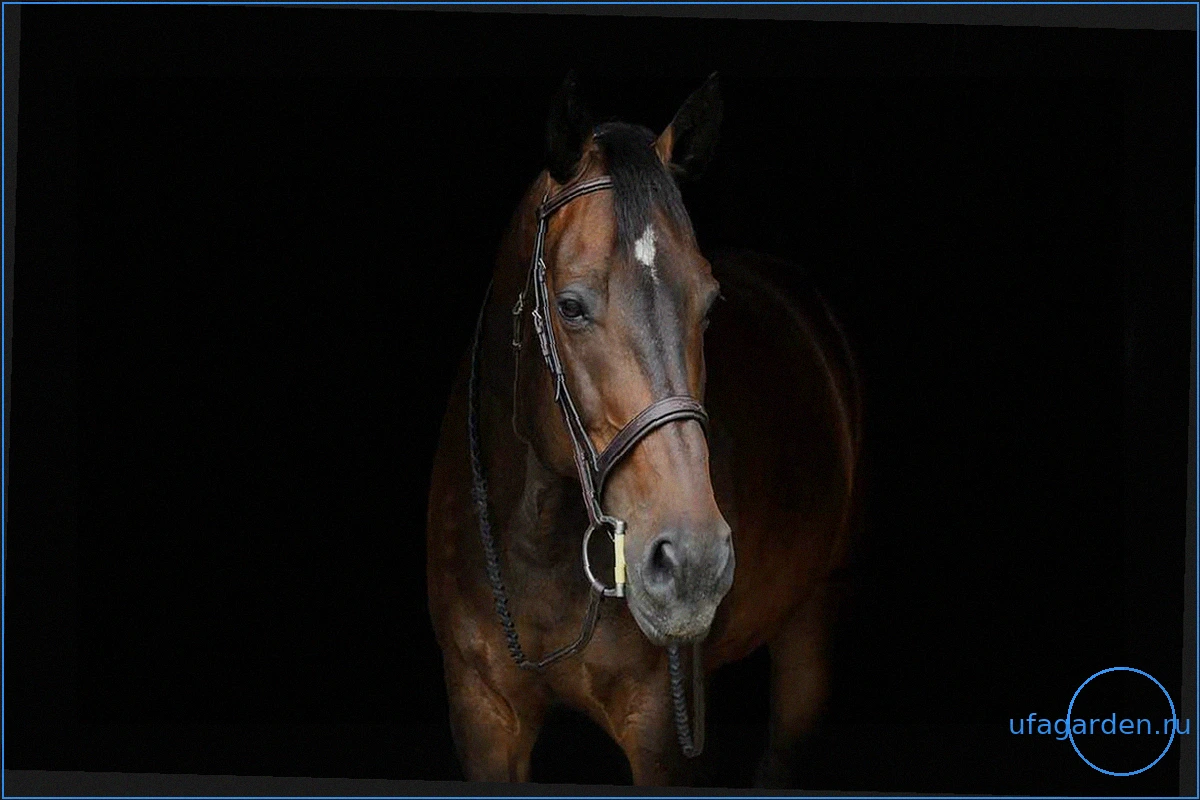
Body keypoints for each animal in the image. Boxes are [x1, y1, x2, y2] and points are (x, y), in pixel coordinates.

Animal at [425, 73, 862, 787]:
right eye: (570, 306)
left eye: (710, 304)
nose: (694, 562)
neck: (536, 541)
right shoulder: (482, 714)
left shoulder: (662, 732)